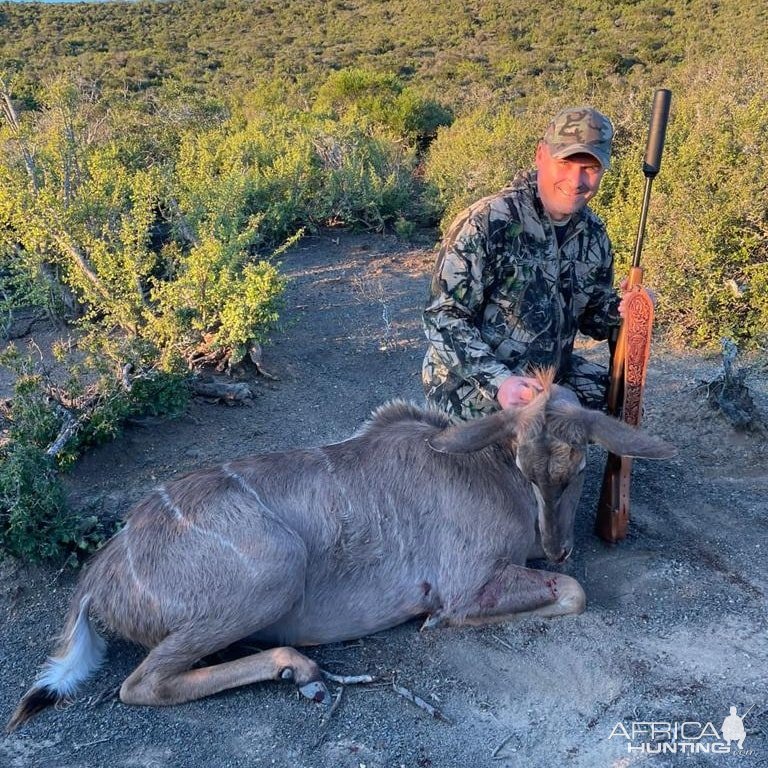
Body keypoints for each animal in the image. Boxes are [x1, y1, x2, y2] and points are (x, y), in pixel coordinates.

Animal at [9, 374, 676, 732]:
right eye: (523, 462)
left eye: (580, 464)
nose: (557, 547)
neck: (487, 470)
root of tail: (101, 578)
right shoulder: (468, 582)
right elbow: (571, 593)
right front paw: (433, 620)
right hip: (275, 572)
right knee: (142, 683)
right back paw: (300, 670)